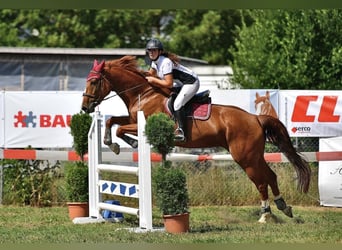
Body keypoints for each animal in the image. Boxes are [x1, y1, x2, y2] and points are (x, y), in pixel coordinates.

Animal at [81, 55, 312, 223]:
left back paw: (265, 214)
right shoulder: (130, 119)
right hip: (253, 155)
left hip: (245, 157)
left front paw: (127, 144)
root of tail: (255, 118)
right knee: (270, 176)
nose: (85, 108)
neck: (144, 93)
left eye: (94, 82)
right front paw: (112, 143)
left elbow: (120, 129)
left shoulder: (141, 124)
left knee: (261, 181)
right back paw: (283, 207)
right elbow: (112, 121)